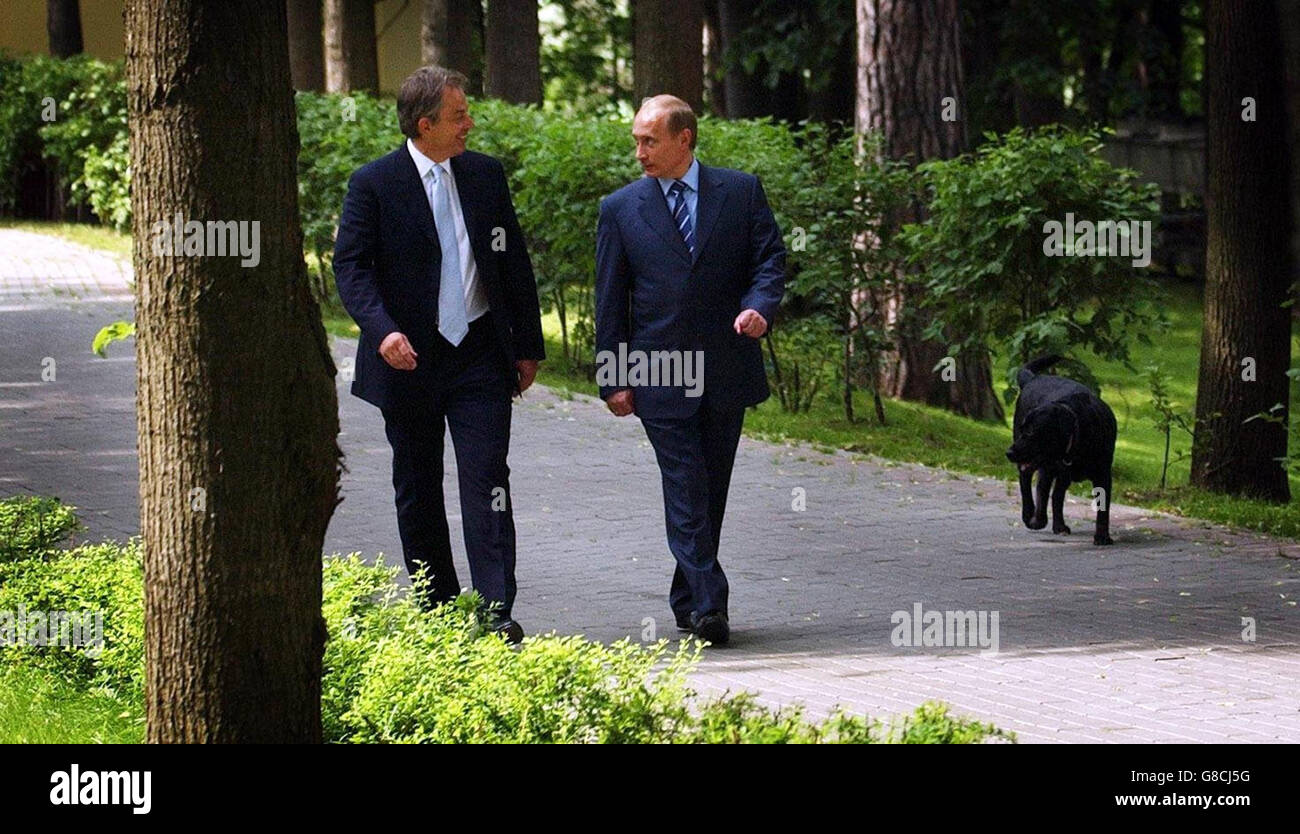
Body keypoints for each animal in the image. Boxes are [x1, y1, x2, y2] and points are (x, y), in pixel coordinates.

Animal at [1003, 353, 1118, 543]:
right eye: (1022, 430)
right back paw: (1030, 516)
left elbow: (1103, 508)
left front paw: (1102, 537)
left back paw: (1058, 525)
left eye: (1031, 432)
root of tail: (1033, 378)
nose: (1009, 453)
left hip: (1059, 473)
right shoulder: (1050, 469)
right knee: (1027, 482)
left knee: (1055, 494)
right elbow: (1043, 494)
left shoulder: (1103, 474)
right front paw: (1037, 520)